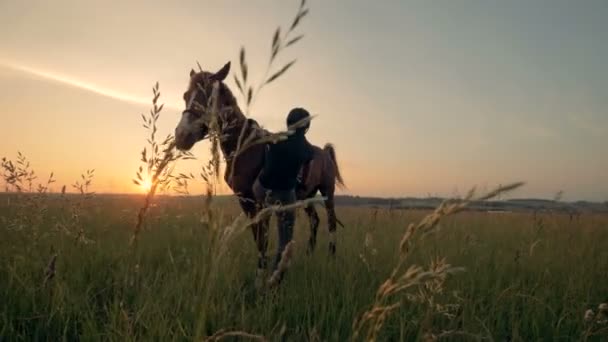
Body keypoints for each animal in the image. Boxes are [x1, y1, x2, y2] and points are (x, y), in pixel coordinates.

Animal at [175, 60, 346, 276]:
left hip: (327, 192)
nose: (182, 135)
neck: (245, 146)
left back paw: (331, 258)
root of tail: (324, 152)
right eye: (185, 96)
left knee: (331, 223)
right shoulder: (246, 202)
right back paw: (309, 255)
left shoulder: (258, 204)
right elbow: (259, 240)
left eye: (209, 96)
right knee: (315, 221)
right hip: (306, 196)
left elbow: (262, 241)